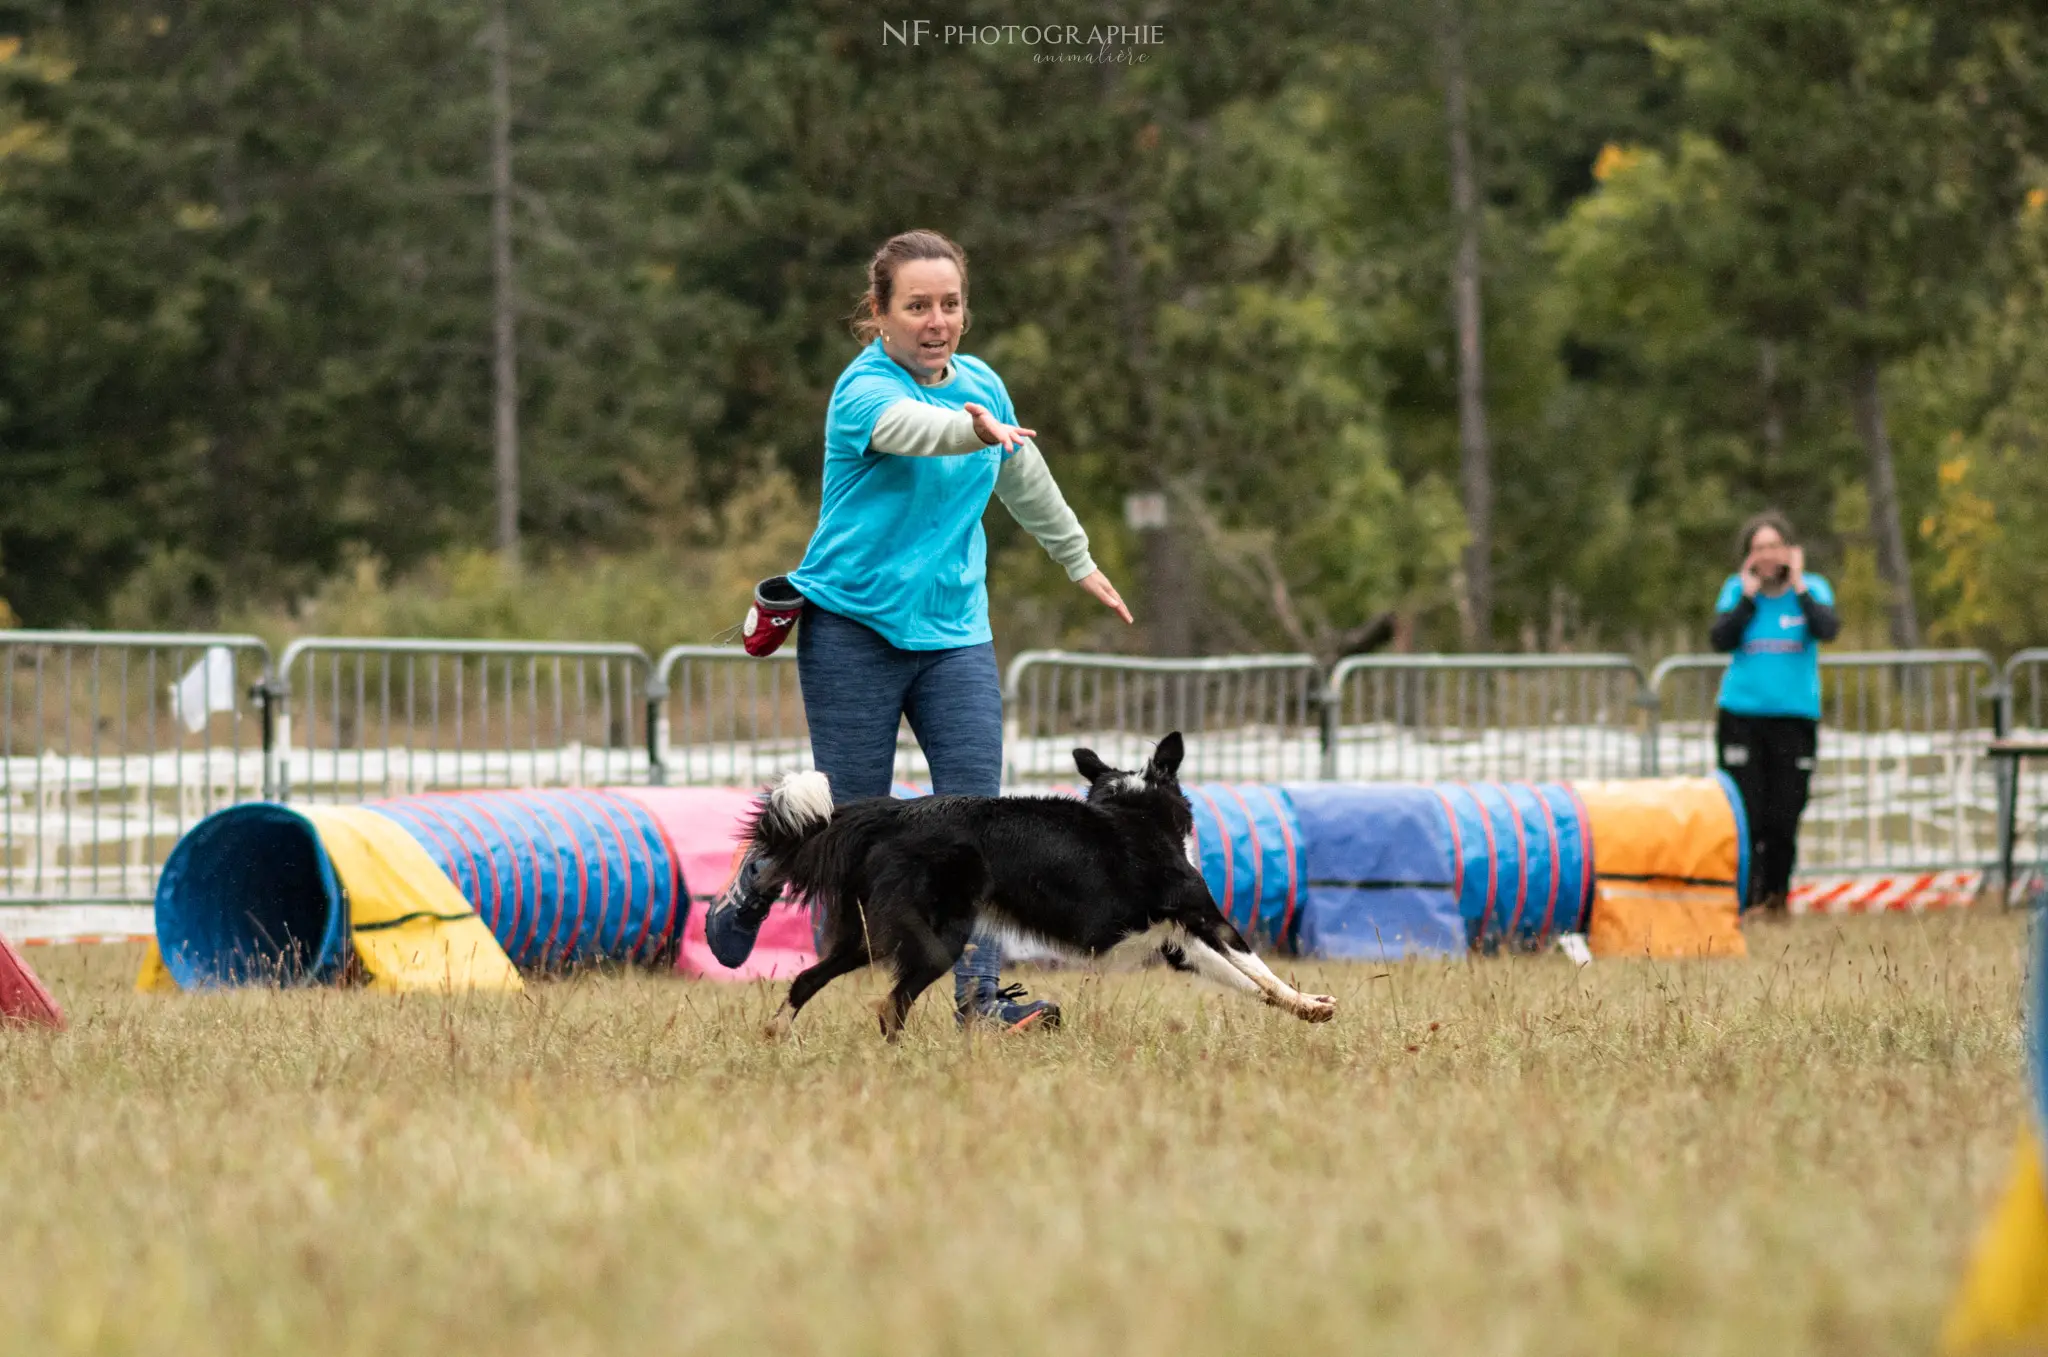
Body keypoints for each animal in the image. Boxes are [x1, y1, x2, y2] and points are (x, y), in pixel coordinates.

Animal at [729, 732, 1335, 1039]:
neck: (1136, 807)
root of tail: (892, 814)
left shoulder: (1177, 942)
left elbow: (1251, 983)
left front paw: (1303, 1010)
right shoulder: (1204, 916)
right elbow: (1261, 969)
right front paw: (1312, 1004)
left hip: (866, 935)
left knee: (808, 979)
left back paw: (776, 1035)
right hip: (938, 939)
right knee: (889, 1006)